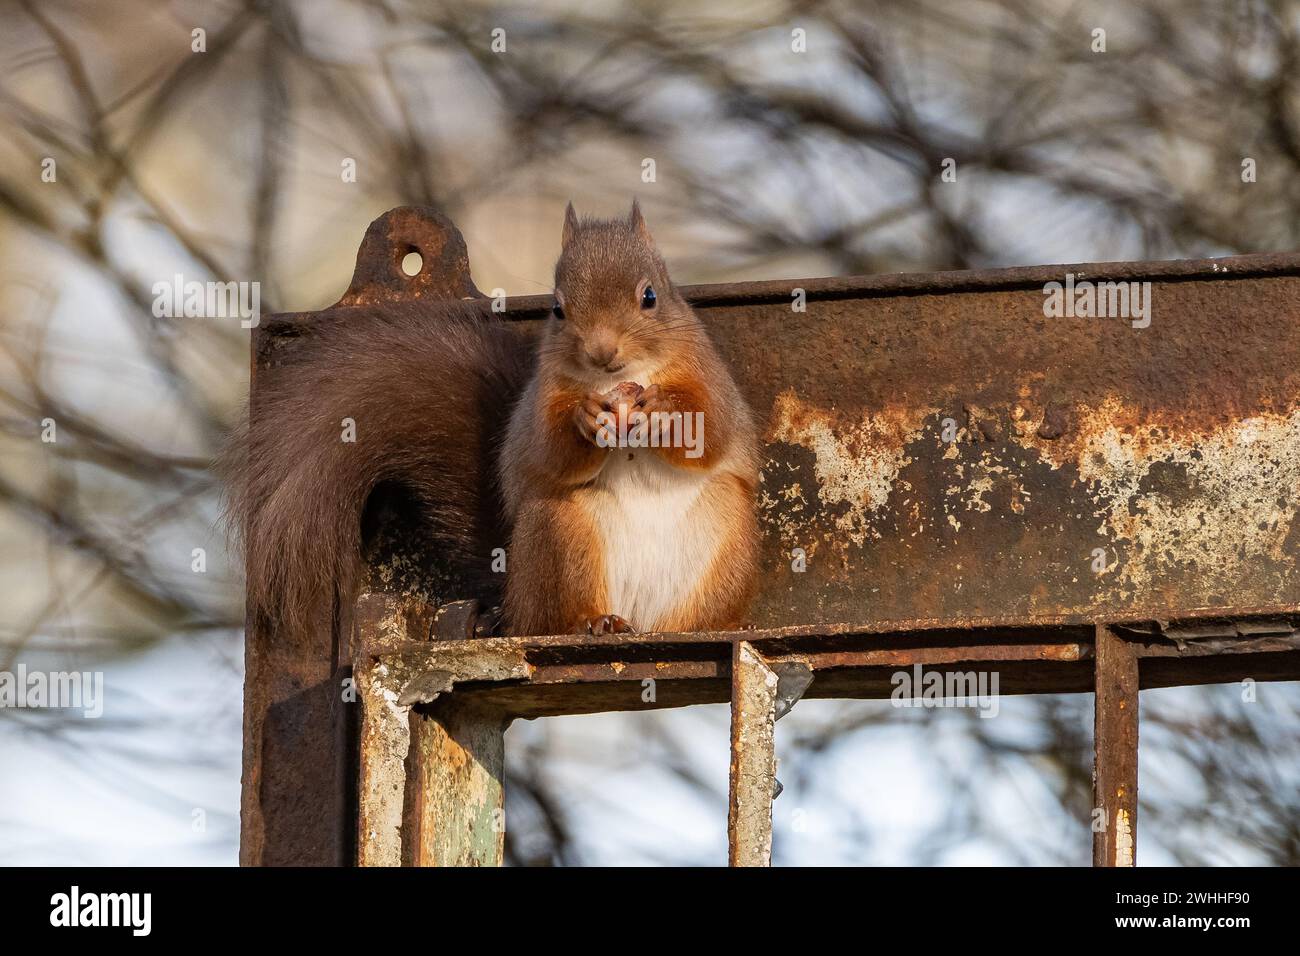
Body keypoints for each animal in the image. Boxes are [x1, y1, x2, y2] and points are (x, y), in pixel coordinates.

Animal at [226, 201, 759, 634]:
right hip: (558, 529)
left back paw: (708, 625)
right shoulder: (542, 398)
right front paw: (585, 418)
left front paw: (665, 413)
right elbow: (547, 450)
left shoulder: (708, 375)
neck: (623, 378)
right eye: (558, 309)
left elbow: (713, 430)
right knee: (553, 618)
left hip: (725, 541)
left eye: (650, 297)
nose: (602, 352)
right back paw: (594, 621)